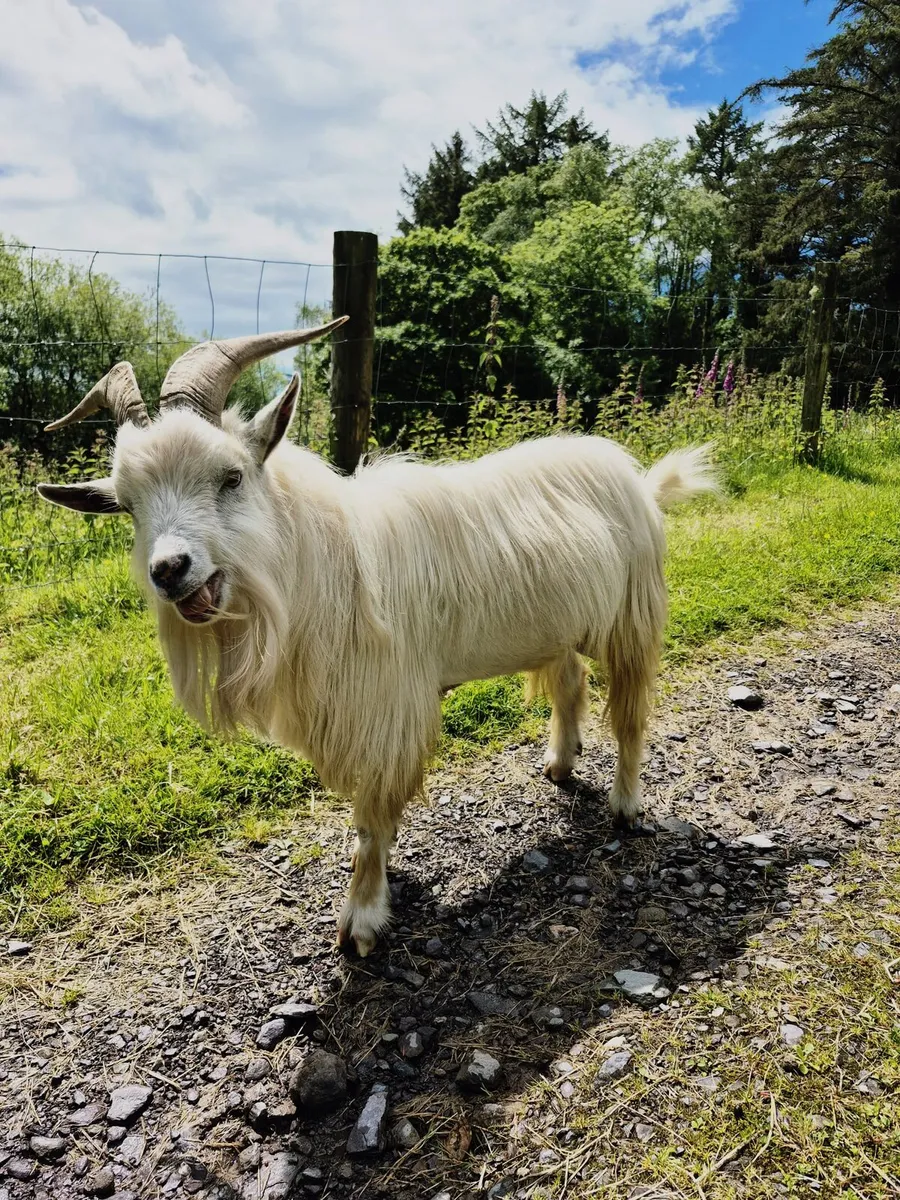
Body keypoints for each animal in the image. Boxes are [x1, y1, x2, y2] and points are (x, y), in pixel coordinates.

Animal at [38, 323, 717, 955]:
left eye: (229, 477)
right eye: (128, 506)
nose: (169, 570)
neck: (321, 561)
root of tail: (638, 479)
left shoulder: (385, 711)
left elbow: (371, 817)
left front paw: (362, 918)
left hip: (630, 616)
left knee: (630, 714)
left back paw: (626, 806)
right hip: (556, 624)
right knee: (570, 681)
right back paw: (560, 762)